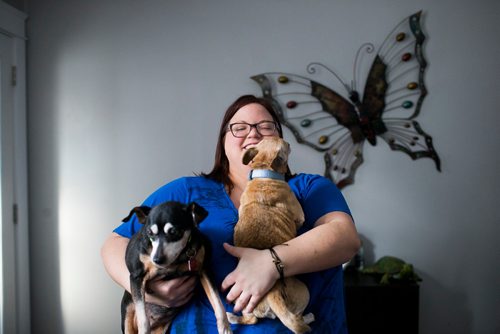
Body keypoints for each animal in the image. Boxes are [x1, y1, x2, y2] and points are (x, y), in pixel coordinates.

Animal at [121, 201, 232, 334]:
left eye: (174, 232)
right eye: (150, 233)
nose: (157, 260)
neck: (177, 259)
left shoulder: (204, 269)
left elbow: (217, 302)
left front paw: (225, 328)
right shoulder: (136, 276)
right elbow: (143, 318)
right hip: (127, 313)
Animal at [229, 136, 314, 334]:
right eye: (286, 145)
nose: (289, 142)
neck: (265, 173)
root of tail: (272, 292)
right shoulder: (299, 215)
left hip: (243, 301)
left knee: (250, 320)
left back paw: (233, 318)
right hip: (304, 292)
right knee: (296, 317)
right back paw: (309, 318)